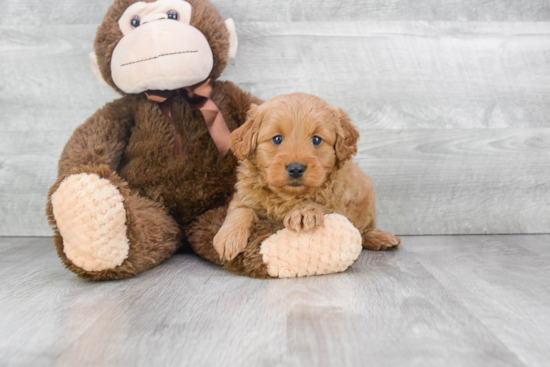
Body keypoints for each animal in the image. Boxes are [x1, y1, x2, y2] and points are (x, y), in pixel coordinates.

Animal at [215, 93, 402, 260]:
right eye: (277, 139)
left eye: (317, 140)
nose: (296, 169)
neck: (287, 196)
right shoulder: (243, 195)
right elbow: (241, 211)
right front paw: (227, 239)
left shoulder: (340, 203)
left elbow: (322, 205)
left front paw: (304, 211)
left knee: (364, 229)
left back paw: (380, 237)